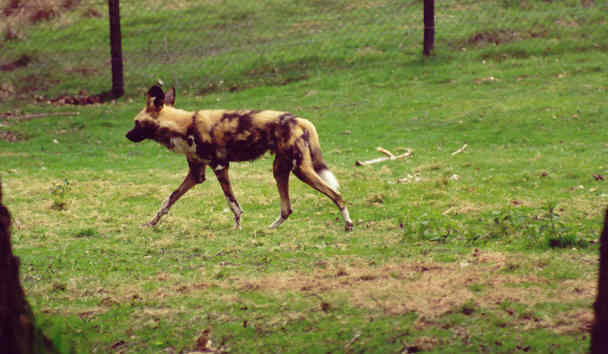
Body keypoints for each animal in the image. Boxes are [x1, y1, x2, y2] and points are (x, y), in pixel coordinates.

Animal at [126, 84, 354, 231]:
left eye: (136, 123)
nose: (127, 135)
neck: (184, 125)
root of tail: (299, 119)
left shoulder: (220, 167)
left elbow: (232, 203)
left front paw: (237, 226)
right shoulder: (196, 174)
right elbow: (169, 200)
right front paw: (151, 223)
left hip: (301, 170)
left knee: (337, 195)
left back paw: (348, 224)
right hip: (280, 170)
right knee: (287, 208)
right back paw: (270, 228)